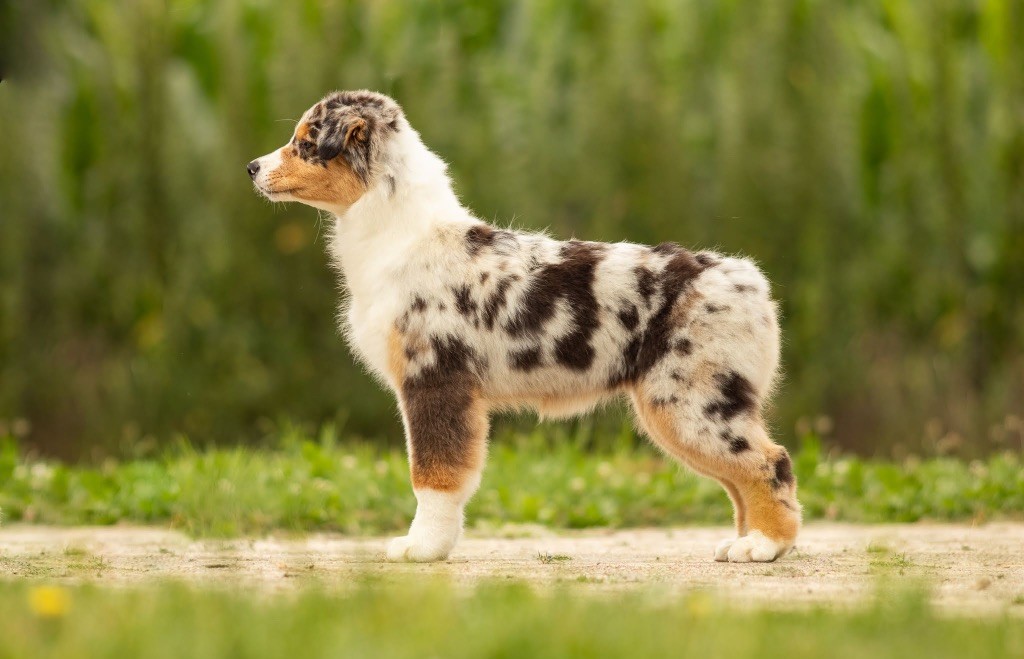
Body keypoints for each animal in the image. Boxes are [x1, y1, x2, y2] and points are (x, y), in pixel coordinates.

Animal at [247, 89, 798, 560]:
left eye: (305, 142)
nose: (252, 167)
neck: (401, 234)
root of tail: (747, 278)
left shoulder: (436, 379)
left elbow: (434, 475)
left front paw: (421, 548)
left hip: (690, 401)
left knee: (769, 462)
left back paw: (764, 546)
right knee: (741, 478)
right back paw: (744, 543)